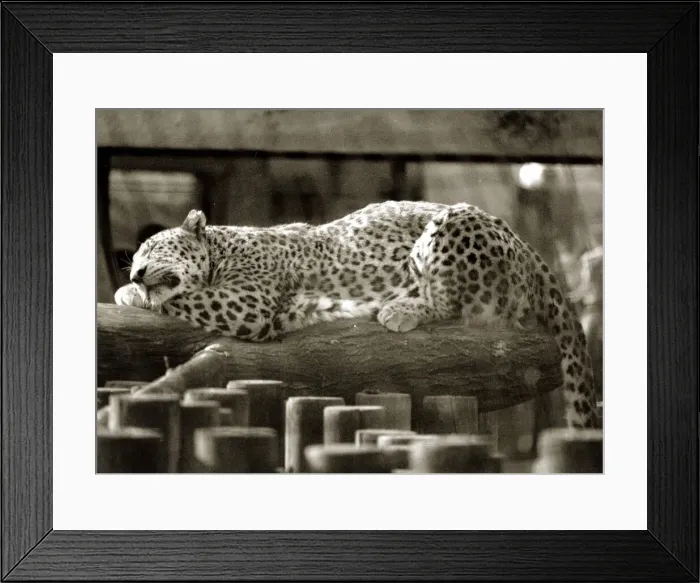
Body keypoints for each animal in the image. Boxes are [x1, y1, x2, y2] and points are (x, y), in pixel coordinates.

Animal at [115, 200, 601, 429]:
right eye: (134, 257)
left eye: (152, 248)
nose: (136, 272)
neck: (223, 246)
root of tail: (530, 249)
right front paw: (127, 290)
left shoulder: (248, 301)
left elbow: (181, 298)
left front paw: (135, 295)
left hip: (452, 221)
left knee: (452, 300)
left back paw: (399, 308)